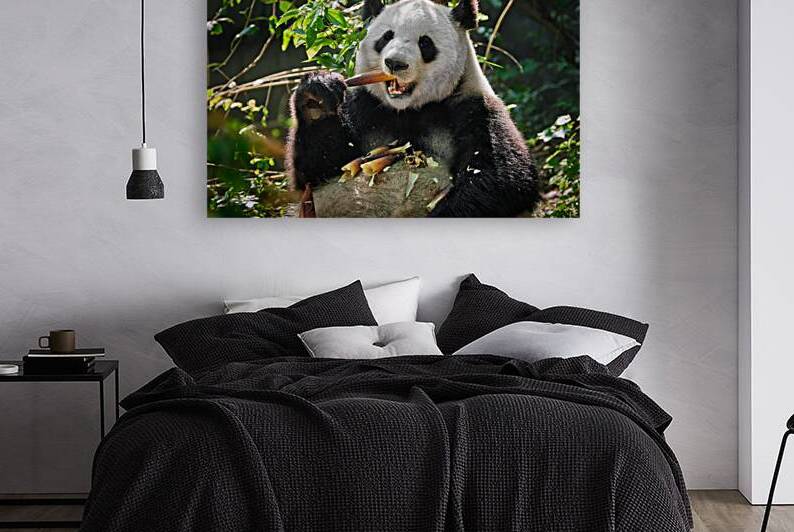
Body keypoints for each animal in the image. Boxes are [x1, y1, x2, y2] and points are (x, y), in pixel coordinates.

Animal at [286, 0, 538, 217]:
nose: (395, 63)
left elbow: (501, 179)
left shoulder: (474, 109)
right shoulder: (364, 107)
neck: (409, 109)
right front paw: (316, 97)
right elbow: (318, 170)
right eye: (386, 37)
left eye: (425, 42)